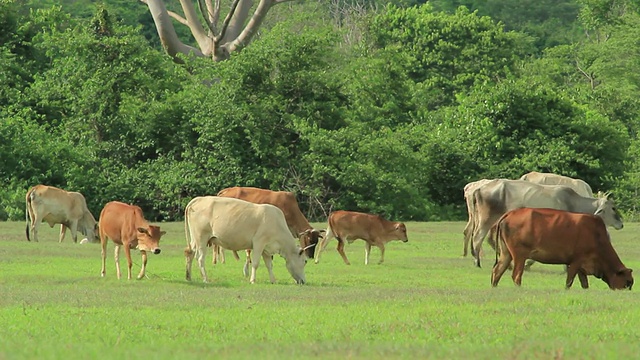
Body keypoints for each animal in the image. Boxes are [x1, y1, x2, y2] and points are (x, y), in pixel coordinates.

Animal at [182, 197, 310, 284]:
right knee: (200, 259)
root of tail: (199, 199)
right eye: (305, 261)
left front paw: (273, 280)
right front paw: (252, 280)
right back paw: (205, 279)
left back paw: (188, 277)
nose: (303, 281)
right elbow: (256, 263)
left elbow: (269, 265)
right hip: (202, 238)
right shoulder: (259, 243)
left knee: (190, 254)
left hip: (195, 239)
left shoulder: (266, 248)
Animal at [468, 179, 624, 268]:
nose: (621, 224)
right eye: (613, 207)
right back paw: (477, 262)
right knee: (477, 237)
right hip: (487, 218)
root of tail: (479, 189)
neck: (573, 202)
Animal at [492, 208, 632, 290]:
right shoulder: (575, 261)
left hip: (506, 253)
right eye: (627, 282)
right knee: (516, 275)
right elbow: (569, 281)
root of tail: (510, 213)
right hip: (519, 255)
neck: (596, 236)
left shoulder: (581, 267)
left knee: (497, 271)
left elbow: (584, 284)